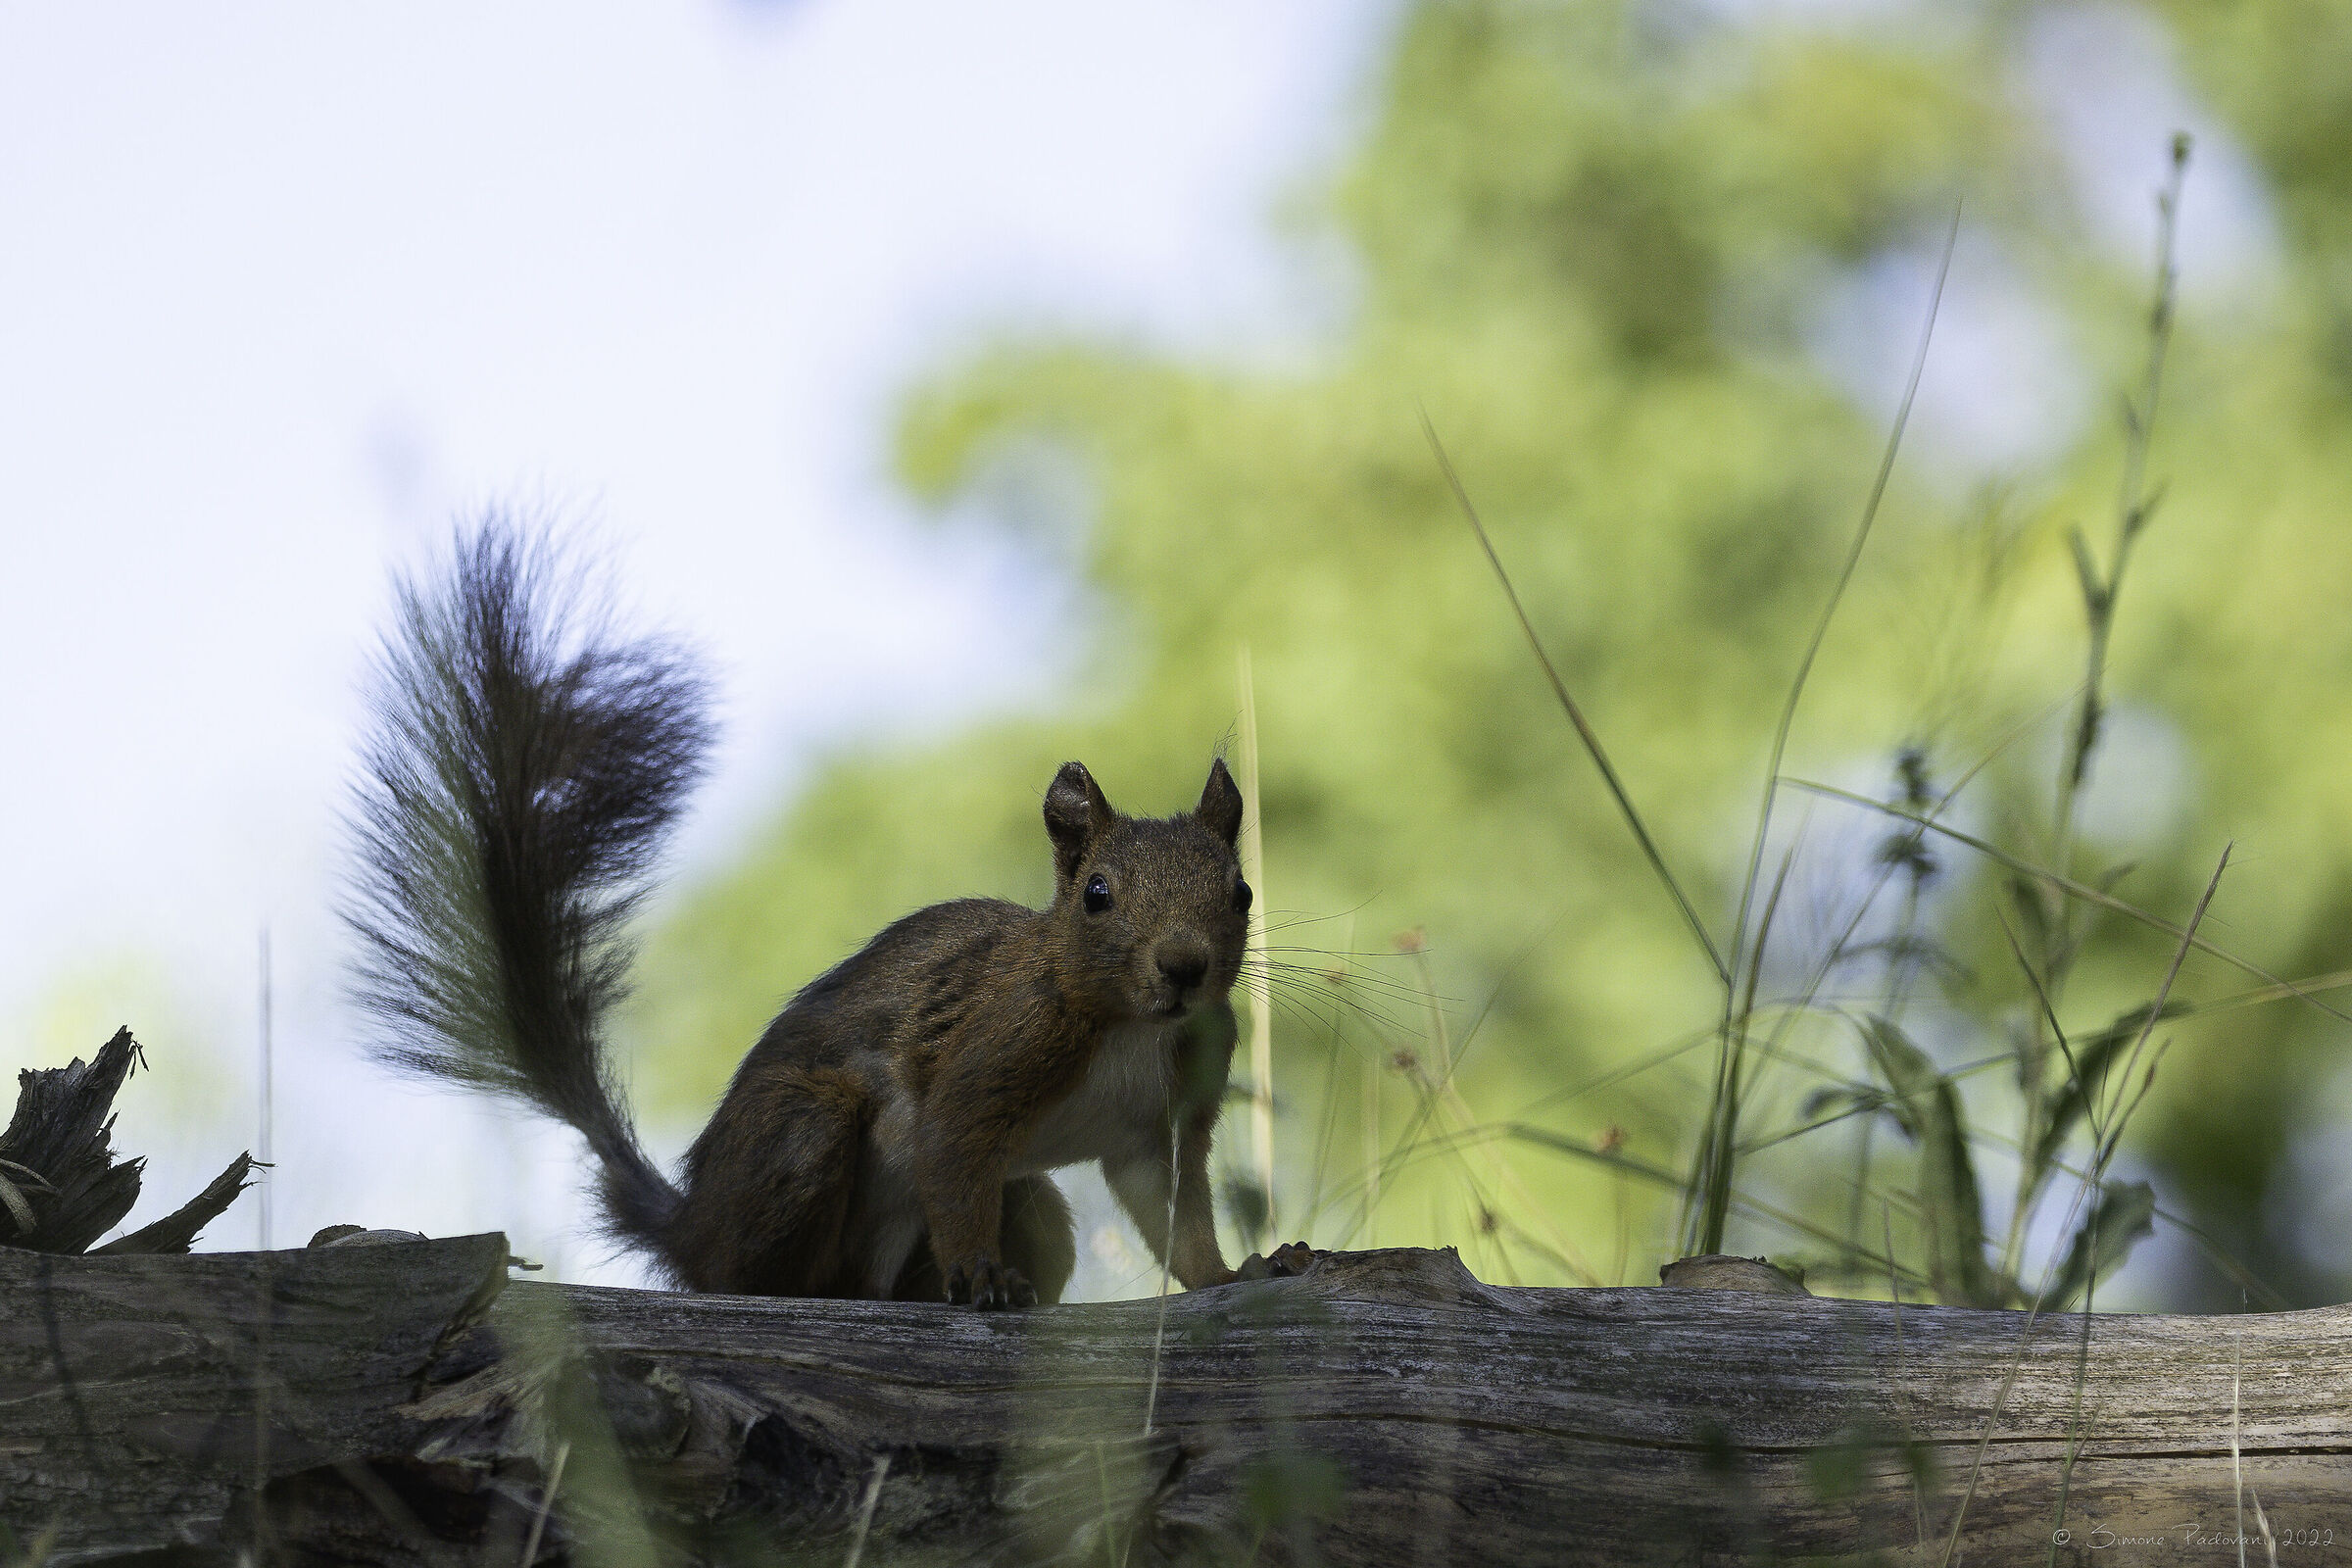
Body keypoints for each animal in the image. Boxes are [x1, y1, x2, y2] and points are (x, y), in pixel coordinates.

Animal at [343, 521, 1289, 1307]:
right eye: (1097, 894)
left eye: (1241, 893)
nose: (1183, 967)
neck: (1129, 1024)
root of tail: (691, 1226)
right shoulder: (992, 1056)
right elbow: (952, 1158)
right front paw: (981, 1277)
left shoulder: (1161, 1122)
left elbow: (1175, 1216)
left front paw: (1238, 1272)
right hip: (803, 1134)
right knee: (752, 1272)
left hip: (1032, 1211)